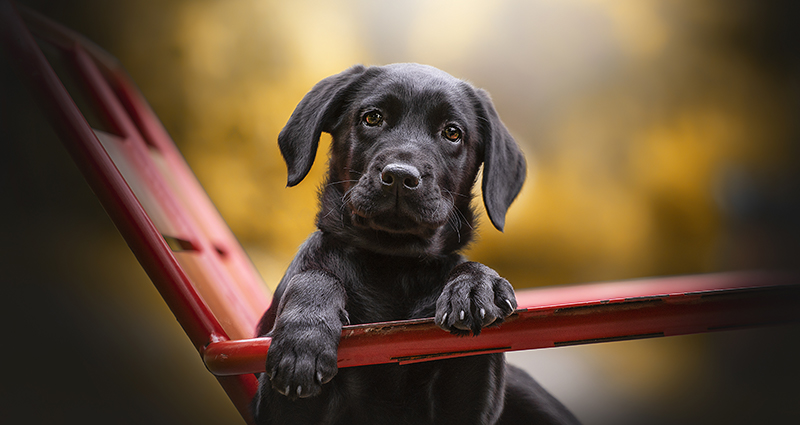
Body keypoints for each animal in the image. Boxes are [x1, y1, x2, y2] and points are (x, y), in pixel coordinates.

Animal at [253, 63, 580, 424]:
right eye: (372, 118)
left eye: (452, 133)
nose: (400, 176)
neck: (395, 266)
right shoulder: (281, 407)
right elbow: (314, 275)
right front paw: (303, 340)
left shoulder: (470, 406)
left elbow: (467, 271)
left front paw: (477, 286)